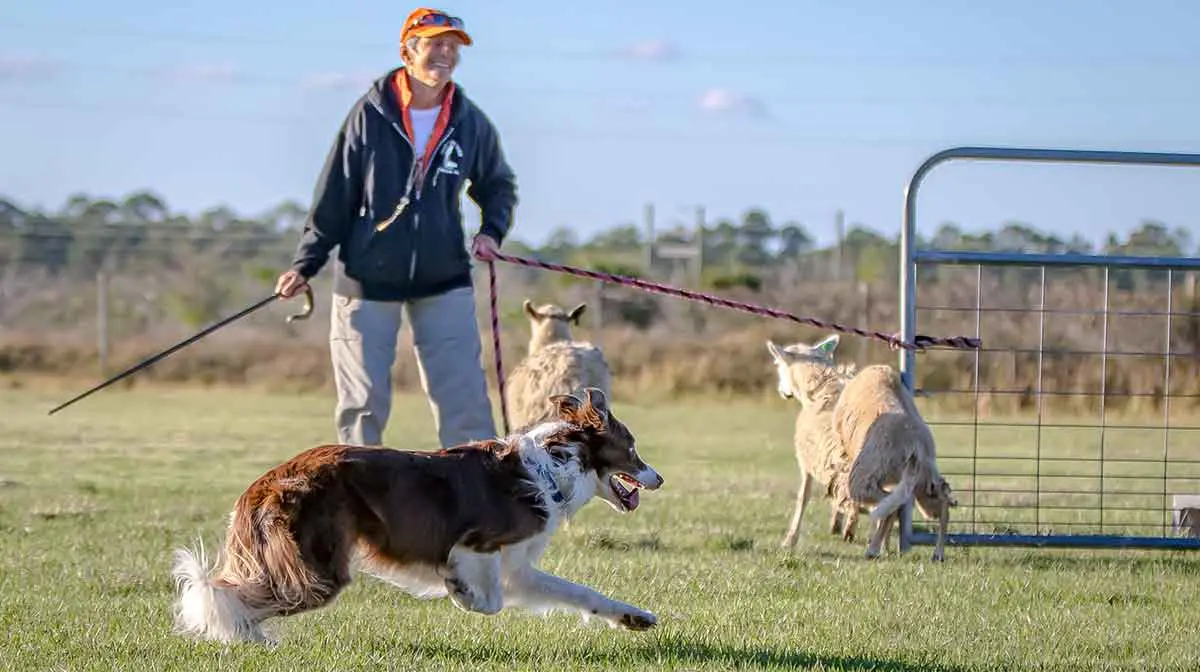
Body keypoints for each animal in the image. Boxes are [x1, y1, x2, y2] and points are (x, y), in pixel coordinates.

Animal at [170, 388, 667, 648]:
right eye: (632, 449)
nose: (659, 477)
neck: (555, 466)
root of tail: (266, 481)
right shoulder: (477, 544)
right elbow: (488, 598)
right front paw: (459, 591)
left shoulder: (517, 567)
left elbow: (580, 592)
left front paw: (634, 617)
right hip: (319, 570)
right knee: (227, 596)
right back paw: (247, 637)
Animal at [825, 362, 955, 561]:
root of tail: (915, 446)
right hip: (925, 482)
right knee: (940, 504)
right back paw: (938, 553)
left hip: (862, 478)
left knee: (889, 507)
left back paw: (872, 550)